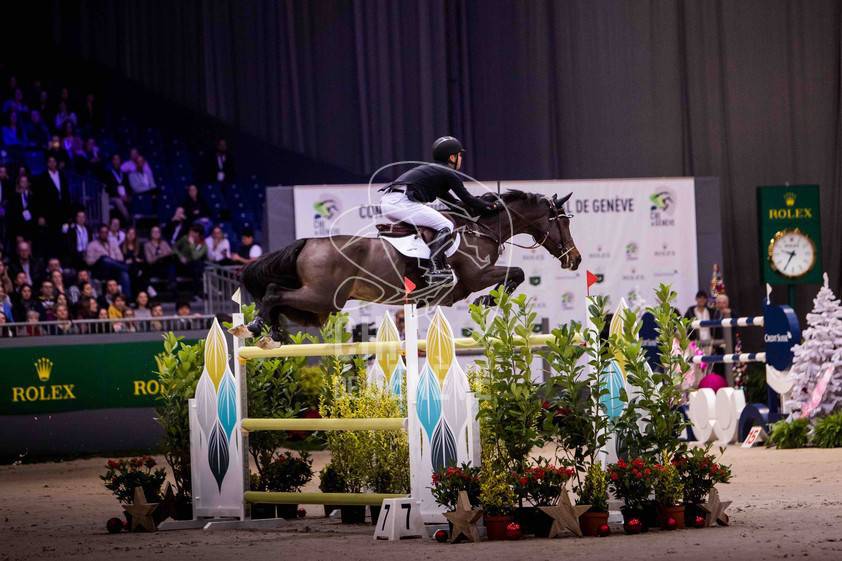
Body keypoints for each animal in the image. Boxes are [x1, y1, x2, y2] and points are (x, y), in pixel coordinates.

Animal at [233, 190, 580, 344]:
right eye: (561, 221)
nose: (575, 259)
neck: (480, 228)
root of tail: (307, 242)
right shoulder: (475, 276)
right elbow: (516, 274)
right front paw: (488, 299)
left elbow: (516, 275)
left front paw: (490, 300)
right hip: (321, 298)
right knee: (274, 292)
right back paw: (258, 326)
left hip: (318, 305)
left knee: (278, 296)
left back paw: (272, 329)